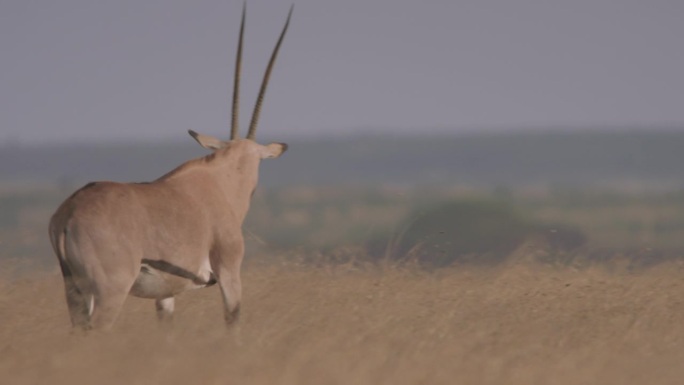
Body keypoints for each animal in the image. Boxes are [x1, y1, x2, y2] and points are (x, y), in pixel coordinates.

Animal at [48, 4, 294, 330]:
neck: (224, 179)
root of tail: (69, 212)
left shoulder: (165, 294)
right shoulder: (229, 269)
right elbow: (233, 321)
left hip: (75, 291)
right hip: (111, 291)